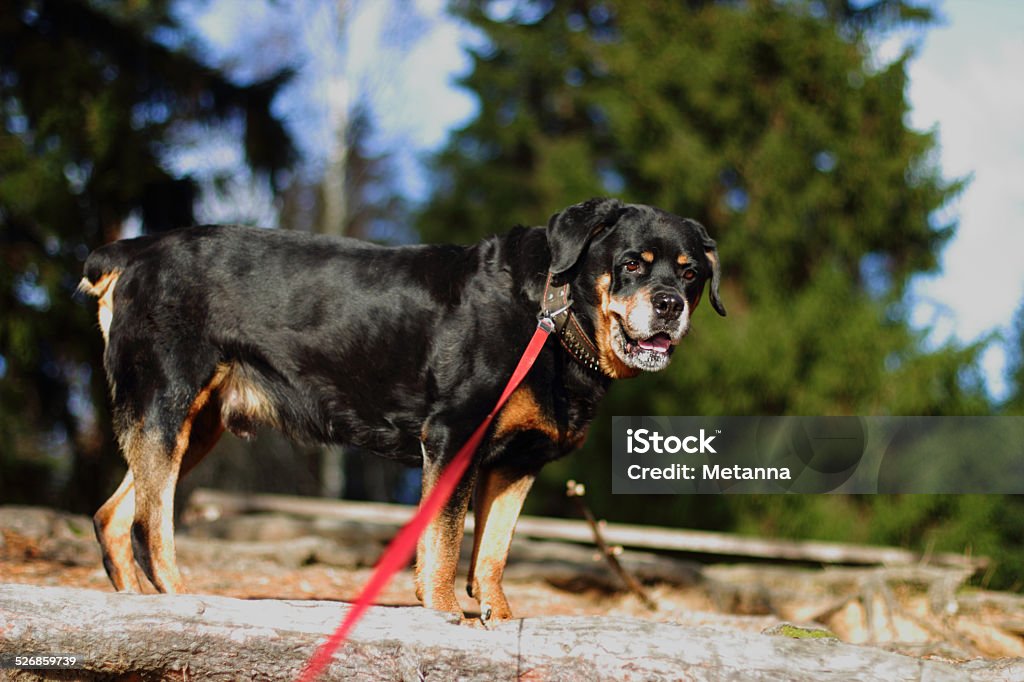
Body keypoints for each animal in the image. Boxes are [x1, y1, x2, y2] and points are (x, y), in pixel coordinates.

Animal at [83, 196, 729, 622]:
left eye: (692, 274)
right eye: (632, 263)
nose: (669, 304)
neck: (553, 313)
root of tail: (133, 250)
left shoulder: (517, 463)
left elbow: (493, 551)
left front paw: (499, 616)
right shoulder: (455, 434)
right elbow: (443, 539)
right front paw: (444, 611)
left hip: (196, 426)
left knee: (114, 513)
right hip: (167, 400)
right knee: (151, 520)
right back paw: (179, 595)